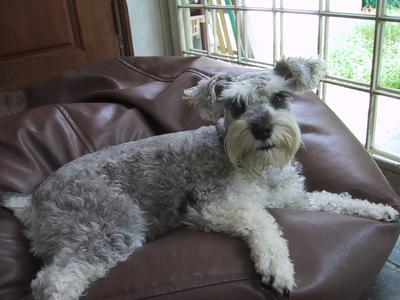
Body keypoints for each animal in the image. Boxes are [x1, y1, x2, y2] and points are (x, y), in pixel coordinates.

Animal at [1, 56, 398, 300]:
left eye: (280, 97)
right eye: (236, 105)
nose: (262, 129)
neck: (257, 166)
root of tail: (33, 198)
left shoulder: (293, 199)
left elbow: (334, 199)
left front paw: (379, 210)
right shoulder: (211, 205)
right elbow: (262, 220)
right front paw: (277, 267)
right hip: (112, 227)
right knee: (52, 282)